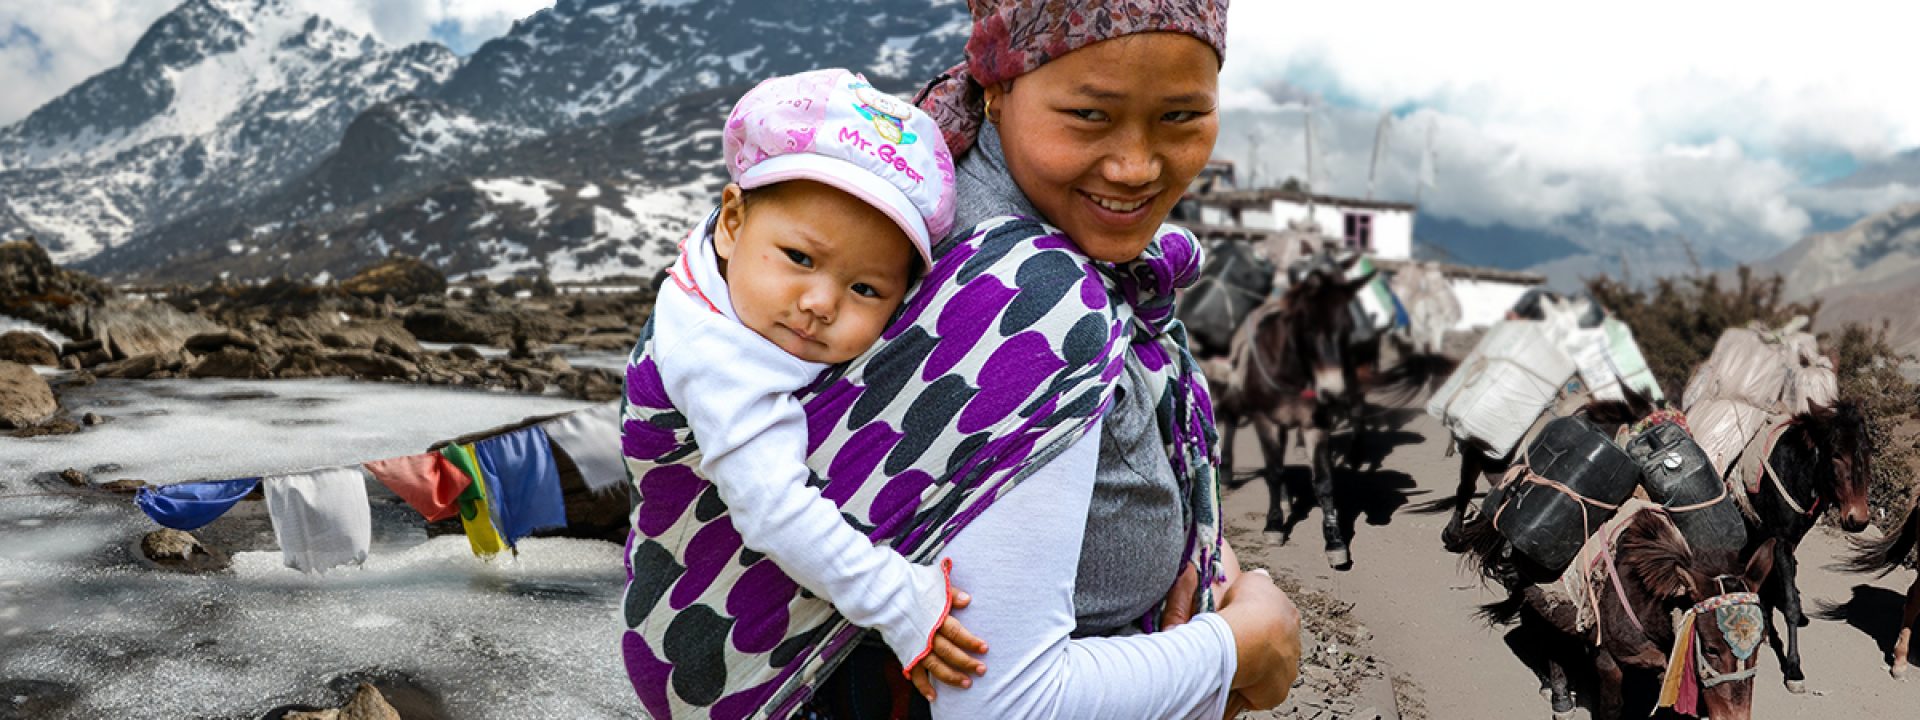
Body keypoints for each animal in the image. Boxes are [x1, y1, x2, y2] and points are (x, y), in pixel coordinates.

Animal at [1459, 503, 1774, 720]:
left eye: (1761, 644)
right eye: (1710, 649)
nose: (1735, 718)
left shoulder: (1667, 665)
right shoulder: (1609, 662)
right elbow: (1612, 708)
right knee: (1549, 640)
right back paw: (1559, 695)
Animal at [1743, 401, 1873, 695]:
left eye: (1868, 451)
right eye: (1836, 454)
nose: (1859, 519)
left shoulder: (1787, 540)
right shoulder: (1780, 540)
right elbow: (1790, 603)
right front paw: (1793, 668)